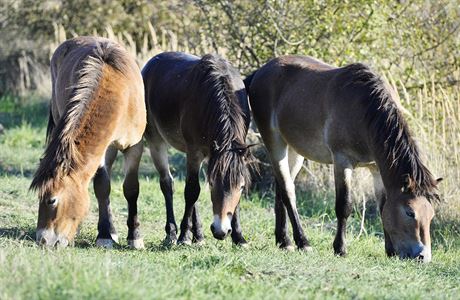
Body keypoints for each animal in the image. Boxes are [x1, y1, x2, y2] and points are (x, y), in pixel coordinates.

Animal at [30, 37, 146, 248]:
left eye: (51, 200)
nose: (42, 240)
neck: (121, 96)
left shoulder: (134, 146)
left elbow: (131, 188)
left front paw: (135, 237)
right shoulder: (100, 152)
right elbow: (102, 188)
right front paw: (105, 235)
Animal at [143, 52, 253, 245]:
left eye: (240, 187)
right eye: (213, 184)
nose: (221, 231)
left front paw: (239, 237)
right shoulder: (194, 152)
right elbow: (192, 191)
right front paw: (184, 236)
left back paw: (199, 235)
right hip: (156, 142)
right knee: (168, 183)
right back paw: (172, 233)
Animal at [244, 55, 442, 262]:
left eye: (431, 214)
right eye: (410, 212)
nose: (423, 256)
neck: (366, 111)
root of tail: (260, 72)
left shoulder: (376, 170)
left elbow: (382, 207)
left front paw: (390, 250)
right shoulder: (342, 162)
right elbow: (343, 206)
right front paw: (340, 248)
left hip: (294, 151)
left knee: (281, 189)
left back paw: (284, 241)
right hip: (275, 143)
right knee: (288, 191)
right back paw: (302, 242)